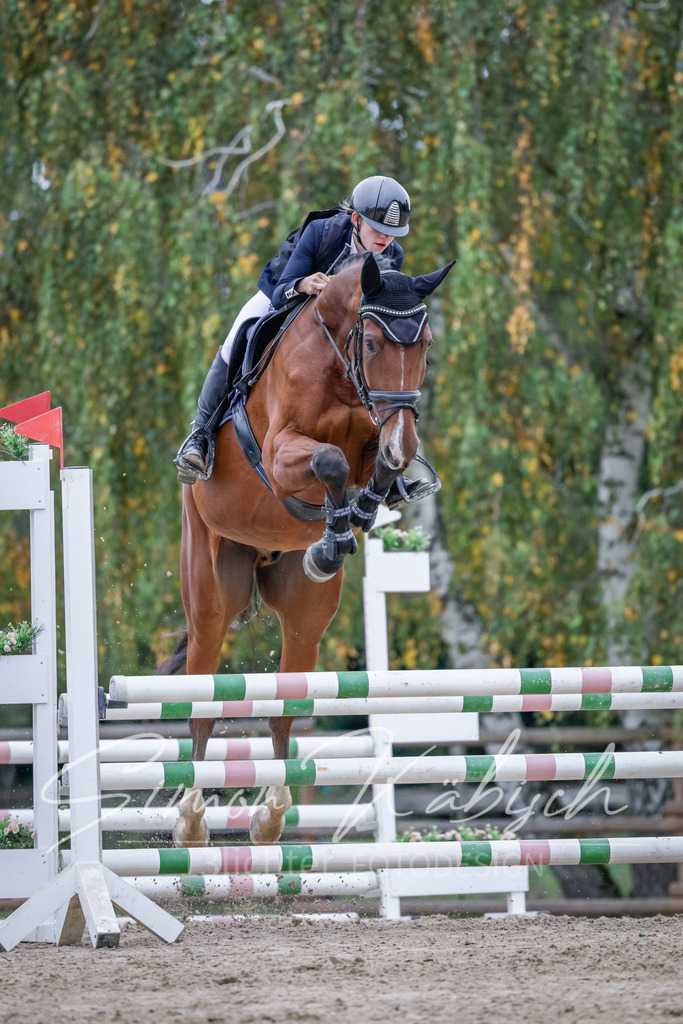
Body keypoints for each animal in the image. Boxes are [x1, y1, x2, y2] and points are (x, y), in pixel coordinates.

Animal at [161, 251, 454, 847]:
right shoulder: (280, 453)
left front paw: (353, 521)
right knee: (203, 701)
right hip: (208, 588)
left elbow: (372, 467)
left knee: (283, 709)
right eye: (372, 344)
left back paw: (270, 819)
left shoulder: (375, 436)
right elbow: (329, 461)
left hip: (304, 618)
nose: (406, 443)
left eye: (428, 343)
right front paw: (341, 525)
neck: (340, 366)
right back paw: (192, 821)